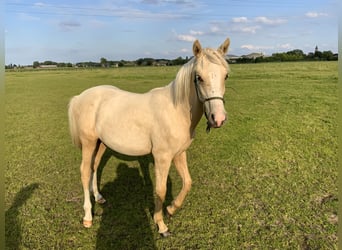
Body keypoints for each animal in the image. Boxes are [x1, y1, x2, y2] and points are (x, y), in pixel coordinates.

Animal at [67, 37, 230, 236]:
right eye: (199, 77)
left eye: (225, 75)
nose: (218, 118)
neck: (176, 110)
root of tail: (79, 97)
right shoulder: (162, 157)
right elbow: (160, 189)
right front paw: (161, 224)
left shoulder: (179, 154)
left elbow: (187, 182)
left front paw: (171, 208)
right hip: (89, 143)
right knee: (84, 172)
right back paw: (88, 217)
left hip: (101, 143)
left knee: (94, 167)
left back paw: (98, 197)